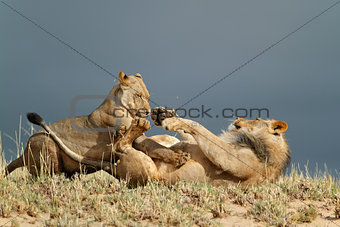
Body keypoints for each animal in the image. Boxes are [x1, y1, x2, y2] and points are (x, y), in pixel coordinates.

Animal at [3, 72, 187, 179]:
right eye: (139, 95)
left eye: (147, 96)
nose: (148, 112)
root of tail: (24, 152)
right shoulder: (134, 137)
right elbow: (154, 146)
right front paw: (178, 157)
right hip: (47, 145)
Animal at [115, 107, 290, 187]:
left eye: (257, 119)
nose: (238, 118)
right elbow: (191, 134)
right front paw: (165, 113)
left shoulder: (232, 160)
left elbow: (198, 127)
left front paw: (170, 120)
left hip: (148, 174)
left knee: (122, 146)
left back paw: (136, 129)